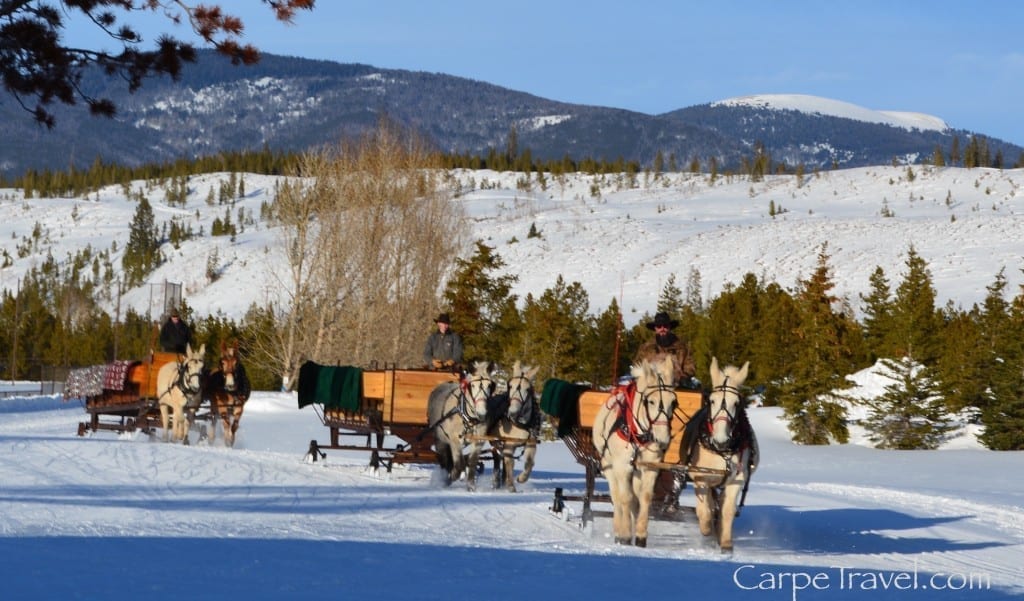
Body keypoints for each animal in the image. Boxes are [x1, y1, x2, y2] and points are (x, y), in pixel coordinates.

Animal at [483, 362, 540, 493]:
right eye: (510, 386)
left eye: (527, 389)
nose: (512, 412)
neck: (520, 423)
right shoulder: (509, 444)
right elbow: (510, 463)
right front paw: (511, 486)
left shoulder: (531, 443)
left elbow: (530, 462)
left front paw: (521, 478)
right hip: (494, 441)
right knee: (497, 459)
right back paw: (497, 482)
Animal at [593, 358, 679, 548]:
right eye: (651, 401)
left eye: (673, 402)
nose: (663, 439)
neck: (638, 433)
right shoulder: (622, 466)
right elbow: (625, 498)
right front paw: (625, 535)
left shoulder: (650, 467)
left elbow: (644, 498)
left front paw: (640, 535)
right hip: (609, 468)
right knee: (617, 498)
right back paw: (619, 531)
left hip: (637, 472)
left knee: (634, 500)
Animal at [684, 358, 757, 556]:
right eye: (712, 400)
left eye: (736, 403)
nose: (721, 440)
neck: (722, 452)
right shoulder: (701, 477)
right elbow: (704, 511)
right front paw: (707, 529)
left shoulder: (736, 479)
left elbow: (728, 511)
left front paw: (725, 543)